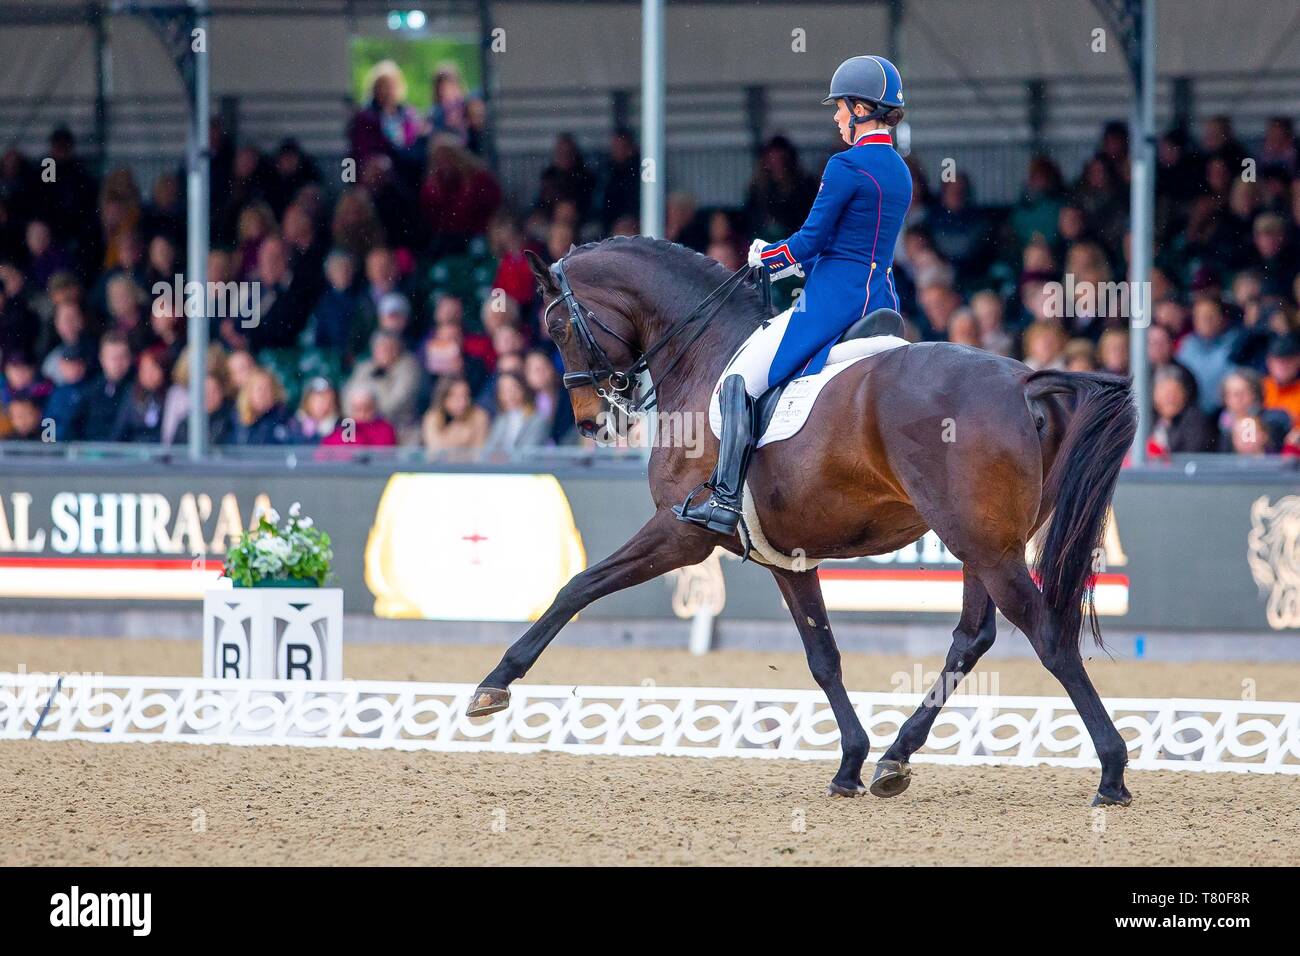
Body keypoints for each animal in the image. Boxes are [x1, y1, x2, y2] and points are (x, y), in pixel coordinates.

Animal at [467, 236, 1137, 807]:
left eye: (556, 325)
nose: (592, 422)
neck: (705, 353)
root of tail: (1024, 379)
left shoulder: (681, 533)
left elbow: (576, 588)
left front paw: (492, 686)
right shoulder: (786, 557)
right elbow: (823, 656)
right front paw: (850, 763)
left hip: (985, 547)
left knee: (1048, 635)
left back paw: (1111, 771)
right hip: (981, 545)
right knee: (972, 638)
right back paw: (894, 759)